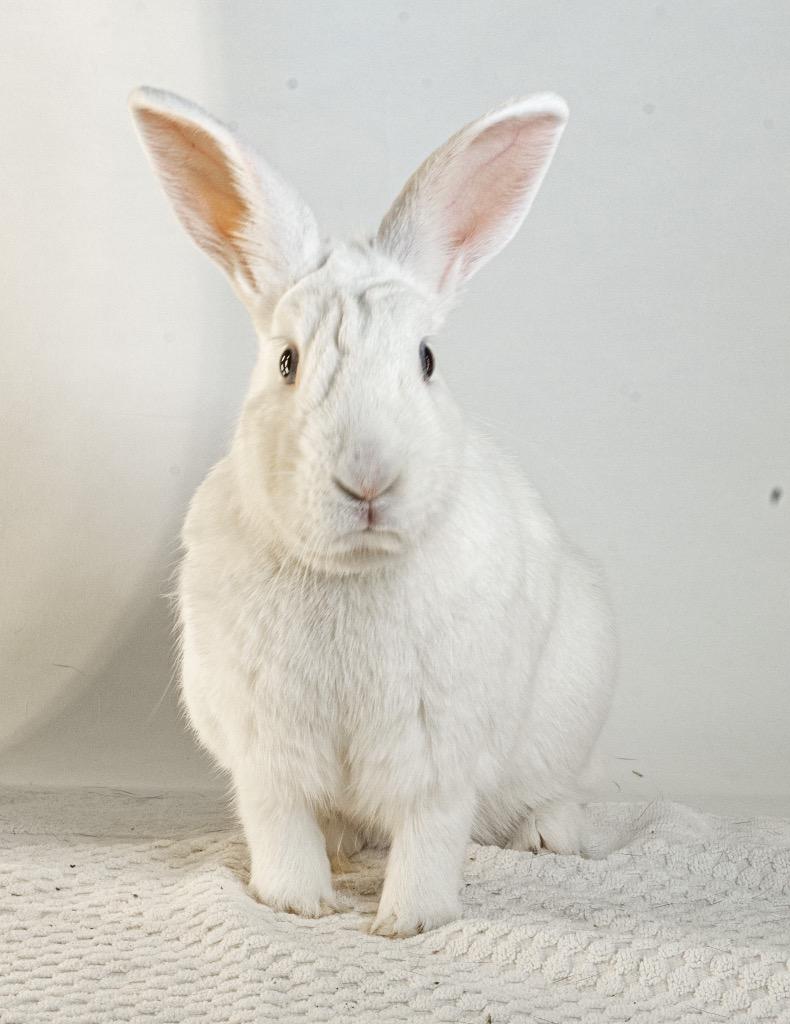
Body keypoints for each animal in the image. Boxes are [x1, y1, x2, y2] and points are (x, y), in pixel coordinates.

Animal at [130, 86, 616, 938]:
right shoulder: (267, 750)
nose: (367, 478)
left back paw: (552, 836)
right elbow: (281, 825)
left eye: (427, 359)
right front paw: (297, 901)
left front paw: (410, 922)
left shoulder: (439, 750)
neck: (351, 575)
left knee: (540, 796)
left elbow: (430, 834)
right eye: (286, 362)